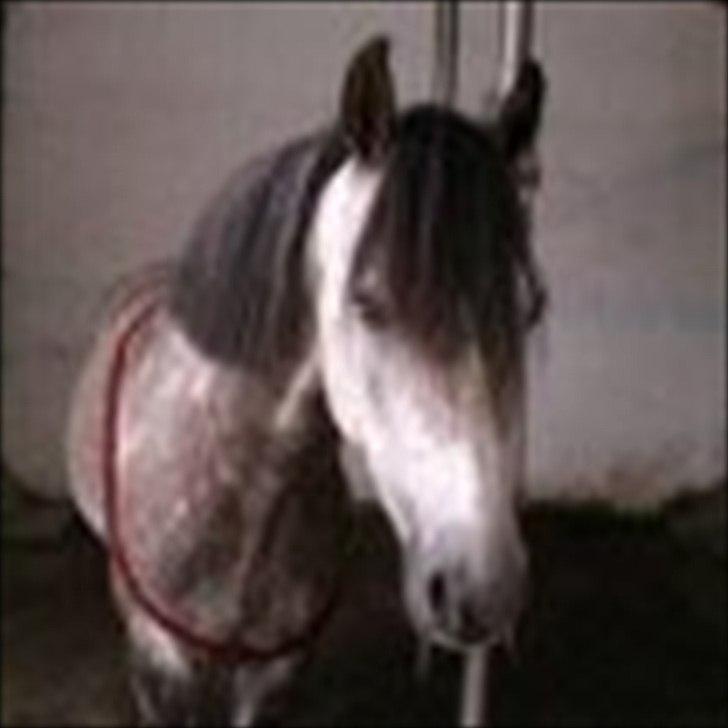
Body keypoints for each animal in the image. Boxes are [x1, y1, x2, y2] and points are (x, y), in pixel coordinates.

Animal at [66, 36, 547, 726]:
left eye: (530, 308)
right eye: (368, 303)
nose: (484, 590)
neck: (248, 488)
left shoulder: (278, 671)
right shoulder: (160, 671)